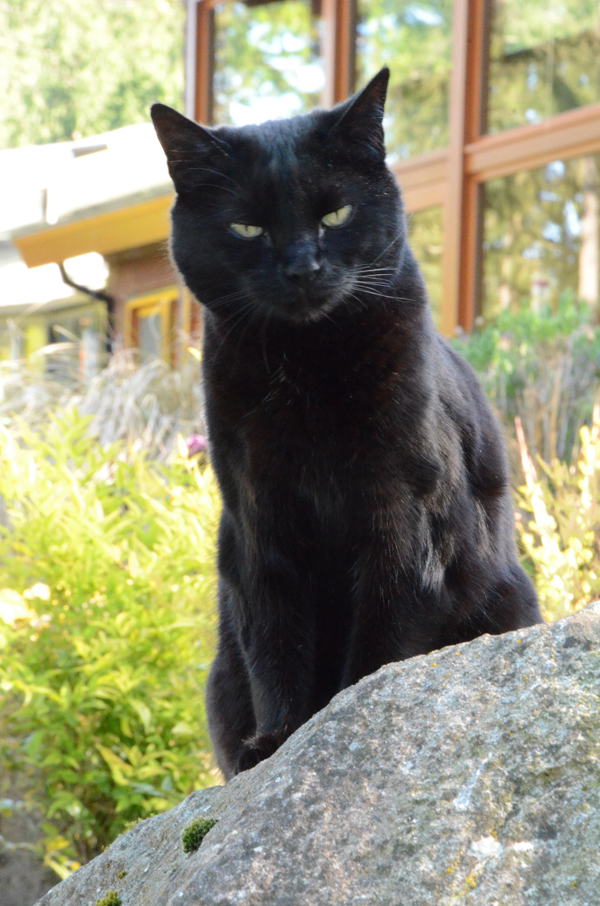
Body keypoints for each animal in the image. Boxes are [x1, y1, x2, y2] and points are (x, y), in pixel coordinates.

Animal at [151, 69, 544, 776]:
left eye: (335, 214)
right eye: (247, 227)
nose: (302, 266)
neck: (308, 374)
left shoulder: (405, 516)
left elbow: (383, 634)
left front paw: (346, 719)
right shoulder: (259, 520)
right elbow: (275, 640)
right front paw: (278, 741)